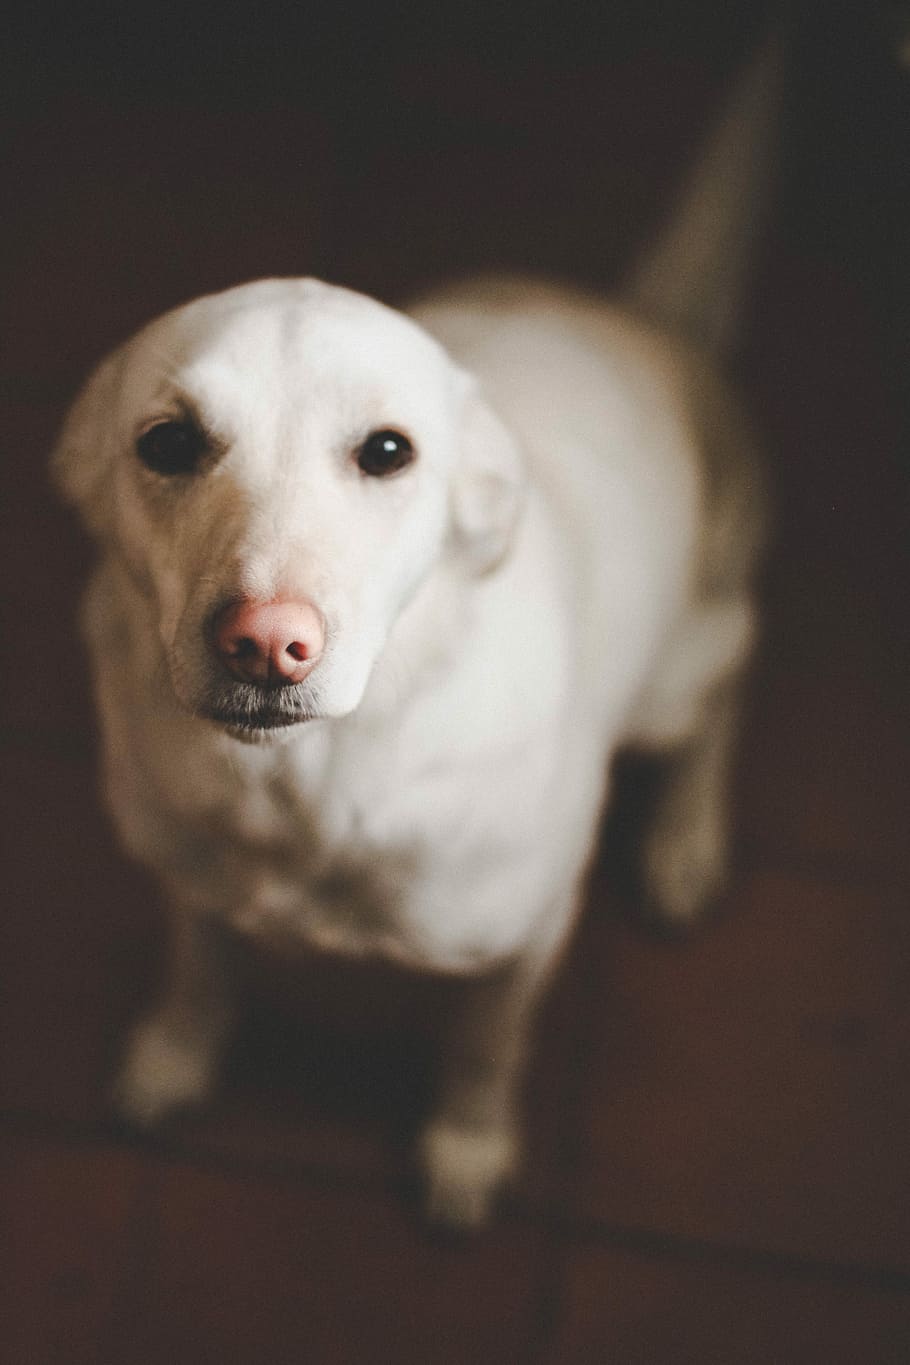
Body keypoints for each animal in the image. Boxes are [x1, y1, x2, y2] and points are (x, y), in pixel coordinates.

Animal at [51, 39, 774, 1228]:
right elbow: (201, 971)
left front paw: (467, 1147)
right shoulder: (187, 881)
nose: (264, 642)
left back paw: (684, 840)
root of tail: (643, 320)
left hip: (681, 673)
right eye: (166, 443)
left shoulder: (523, 941)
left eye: (388, 451)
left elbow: (485, 1048)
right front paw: (173, 1057)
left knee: (727, 685)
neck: (304, 785)